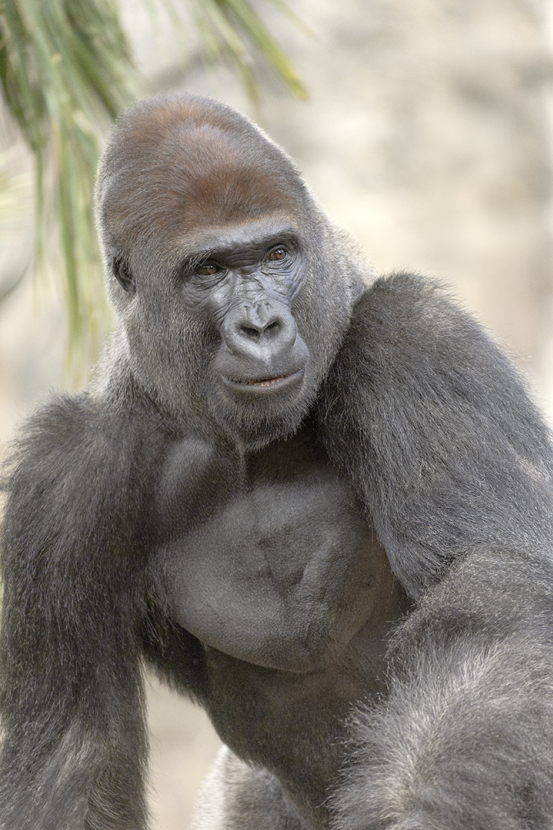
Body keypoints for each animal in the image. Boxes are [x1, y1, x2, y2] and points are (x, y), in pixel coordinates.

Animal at [2, 93, 553, 830]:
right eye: (209, 270)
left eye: (276, 254)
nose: (261, 326)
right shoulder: (59, 484)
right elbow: (74, 761)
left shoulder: (414, 336)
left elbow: (495, 597)